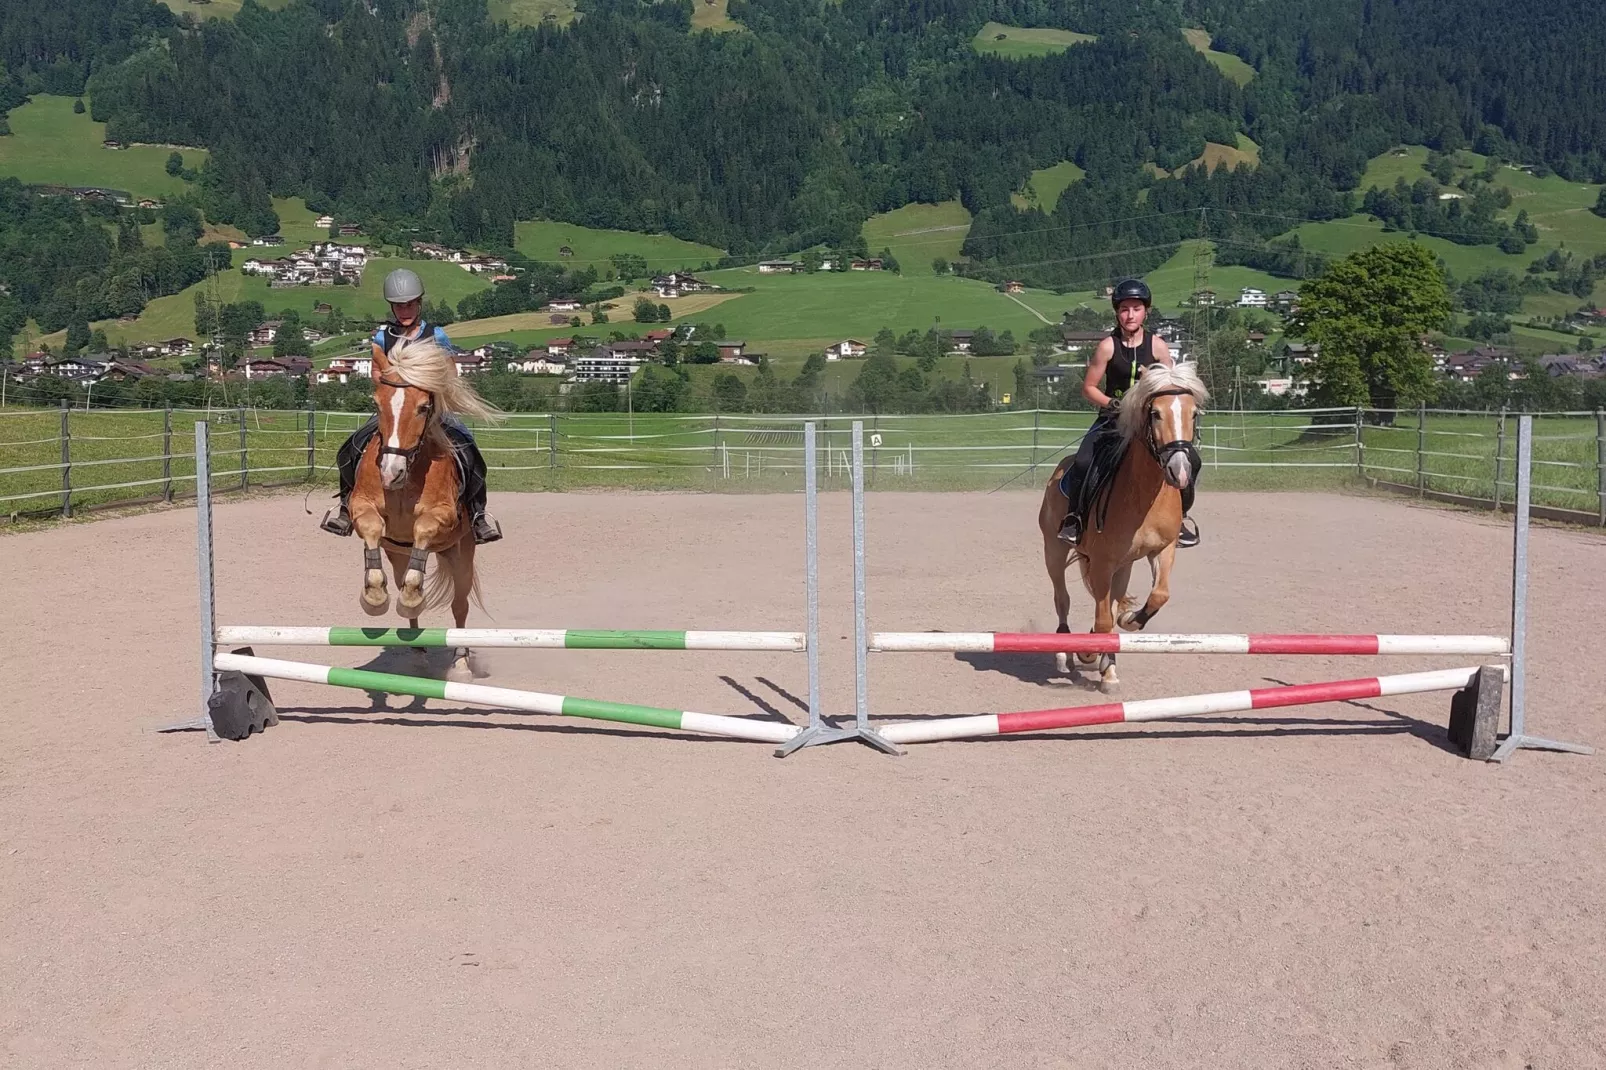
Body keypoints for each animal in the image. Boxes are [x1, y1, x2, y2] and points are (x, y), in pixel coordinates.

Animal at [351, 337, 501, 677]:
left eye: (422, 407)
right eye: (377, 405)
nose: (391, 472)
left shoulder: (443, 515)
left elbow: (423, 527)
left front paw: (411, 596)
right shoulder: (360, 507)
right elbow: (372, 529)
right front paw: (374, 595)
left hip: (462, 554)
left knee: (460, 605)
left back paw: (460, 661)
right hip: (398, 554)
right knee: (403, 579)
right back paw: (417, 653)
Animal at [1034, 363, 1207, 687]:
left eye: (1193, 414)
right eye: (1156, 414)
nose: (1179, 470)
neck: (1143, 494)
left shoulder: (1162, 550)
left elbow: (1157, 596)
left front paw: (1128, 624)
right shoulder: (1102, 562)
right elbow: (1102, 619)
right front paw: (1092, 656)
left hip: (1122, 566)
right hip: (1055, 550)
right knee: (1062, 598)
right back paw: (1065, 650)